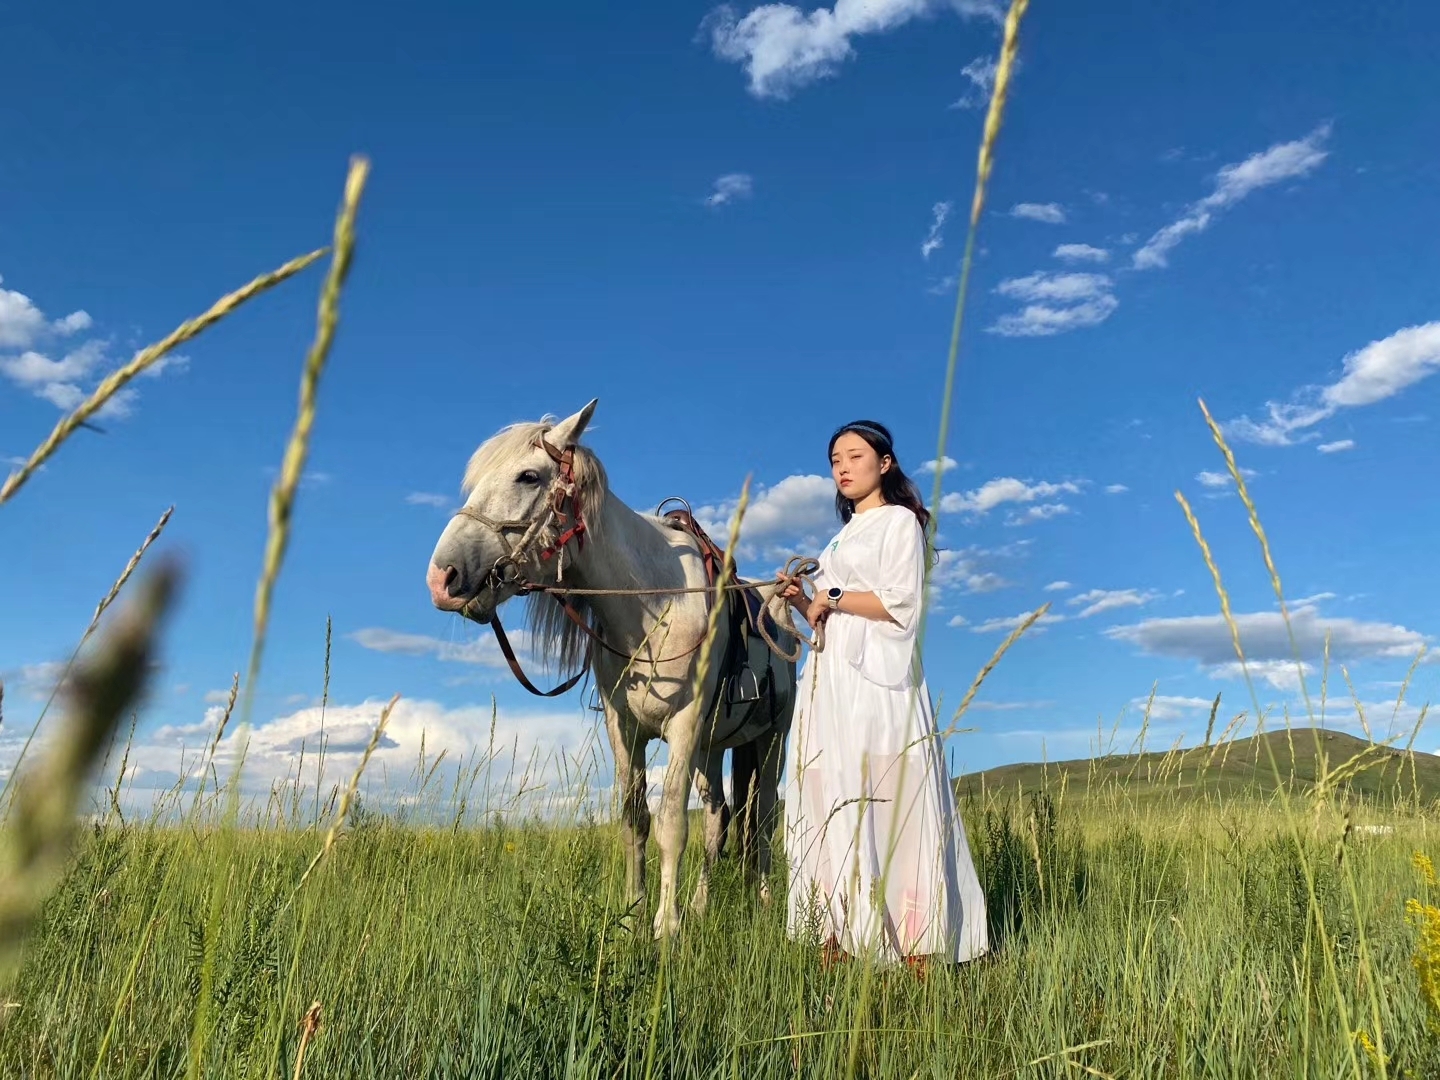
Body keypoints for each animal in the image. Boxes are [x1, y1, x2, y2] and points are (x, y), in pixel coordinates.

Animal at [423, 397, 800, 938]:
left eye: (528, 476)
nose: (442, 577)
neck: (655, 603)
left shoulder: (683, 726)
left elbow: (671, 822)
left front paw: (667, 925)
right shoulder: (625, 730)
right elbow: (634, 820)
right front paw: (635, 911)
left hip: (771, 740)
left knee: (764, 816)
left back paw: (766, 904)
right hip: (712, 749)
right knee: (718, 815)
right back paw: (702, 905)